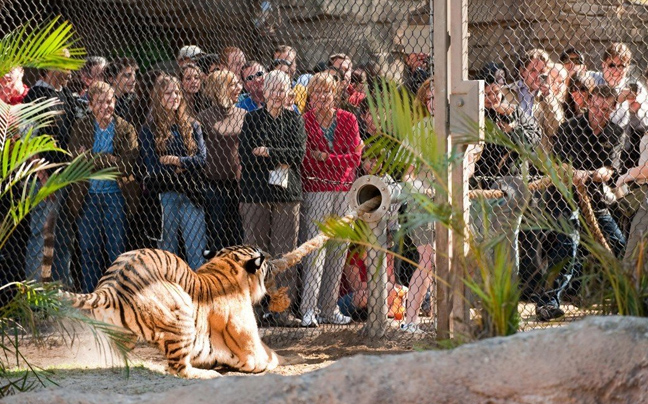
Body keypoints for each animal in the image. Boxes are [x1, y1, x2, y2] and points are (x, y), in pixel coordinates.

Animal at [62, 245, 286, 380]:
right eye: (264, 260)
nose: (272, 258)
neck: (226, 264)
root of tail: (110, 286)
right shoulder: (252, 352)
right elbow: (270, 356)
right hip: (183, 312)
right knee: (179, 368)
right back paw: (209, 374)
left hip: (121, 335)